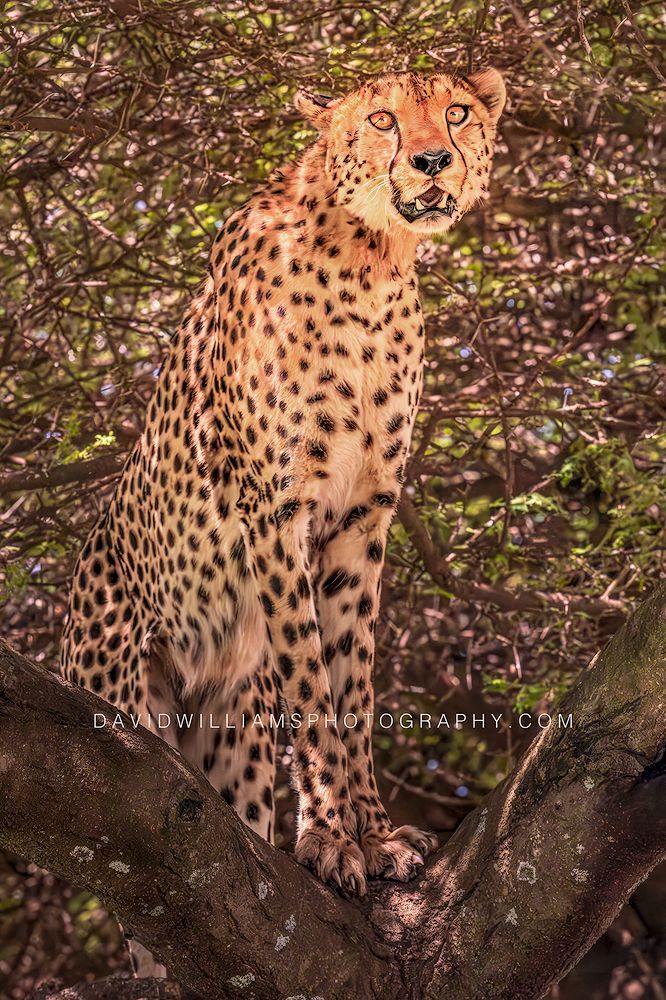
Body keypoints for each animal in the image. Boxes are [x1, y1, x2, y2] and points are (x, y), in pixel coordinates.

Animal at [61, 69, 505, 912]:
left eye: (457, 111)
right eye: (382, 118)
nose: (433, 159)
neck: (374, 258)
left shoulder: (365, 514)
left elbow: (352, 683)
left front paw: (373, 832)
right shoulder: (276, 509)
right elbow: (312, 680)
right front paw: (333, 839)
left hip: (233, 722)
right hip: (125, 705)